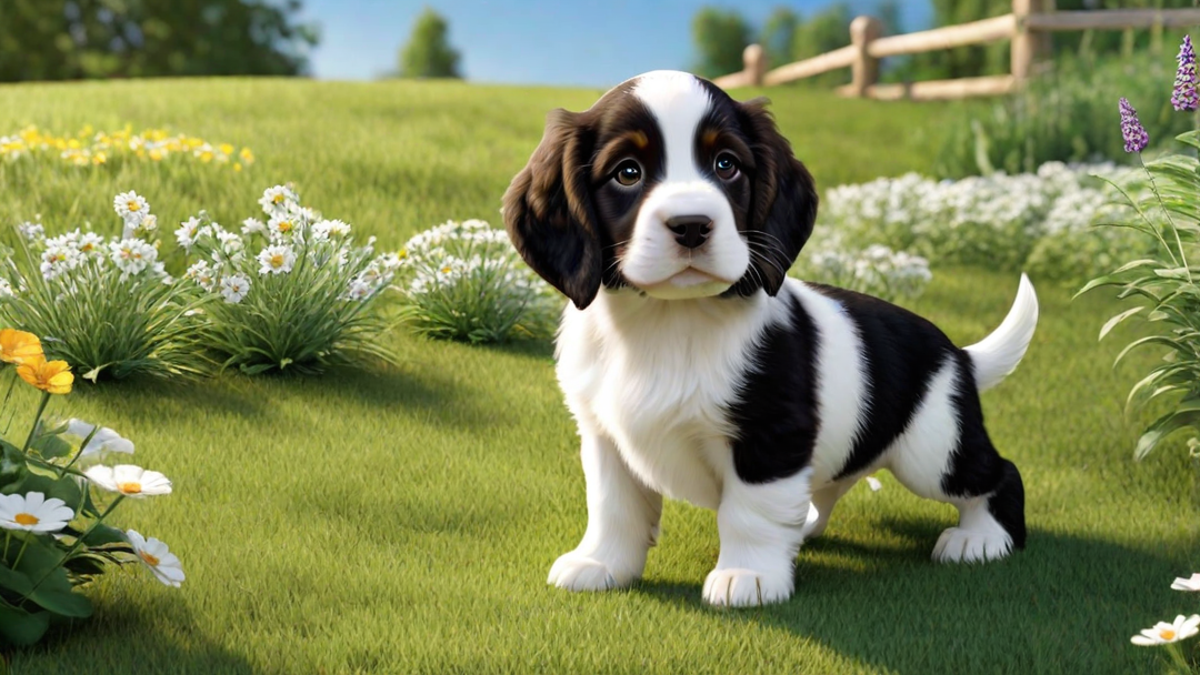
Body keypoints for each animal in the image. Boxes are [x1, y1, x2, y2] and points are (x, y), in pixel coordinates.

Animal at [501, 70, 1036, 607]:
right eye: (627, 173)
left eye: (727, 165)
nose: (691, 226)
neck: (667, 322)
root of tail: (958, 354)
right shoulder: (605, 434)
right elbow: (614, 506)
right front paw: (600, 563)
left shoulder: (772, 436)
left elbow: (750, 511)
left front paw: (748, 575)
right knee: (828, 485)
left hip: (934, 449)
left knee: (1000, 473)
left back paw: (979, 538)